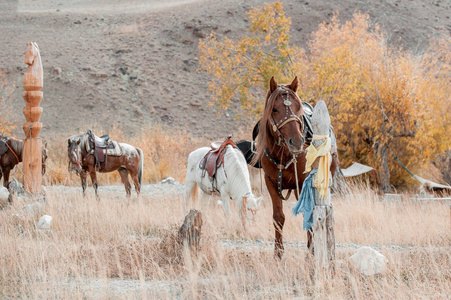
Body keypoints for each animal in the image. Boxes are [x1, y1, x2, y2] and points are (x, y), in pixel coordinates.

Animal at [254, 76, 340, 258]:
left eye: (298, 108)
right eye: (274, 109)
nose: (297, 141)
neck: (284, 153)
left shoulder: (304, 184)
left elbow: (309, 215)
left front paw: (311, 253)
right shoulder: (271, 182)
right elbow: (278, 217)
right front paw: (278, 254)